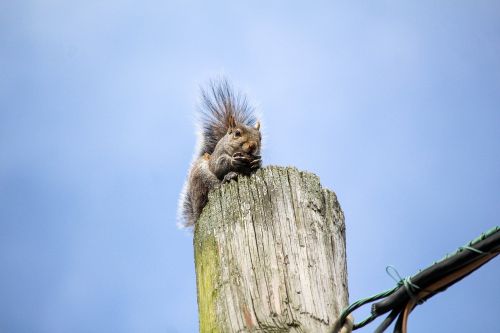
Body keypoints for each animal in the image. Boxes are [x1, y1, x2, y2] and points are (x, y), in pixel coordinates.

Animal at [179, 79, 264, 227]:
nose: (253, 146)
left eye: (260, 138)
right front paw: (233, 161)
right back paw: (228, 177)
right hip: (203, 178)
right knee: (215, 187)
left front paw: (257, 162)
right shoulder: (217, 158)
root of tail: (197, 214)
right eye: (237, 133)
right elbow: (218, 166)